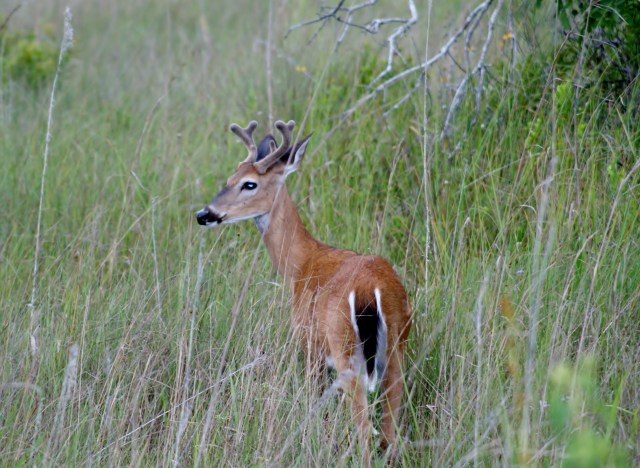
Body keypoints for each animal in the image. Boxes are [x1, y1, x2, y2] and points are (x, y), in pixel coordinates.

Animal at [196, 119, 412, 454]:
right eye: (229, 178)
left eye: (249, 184)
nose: (204, 214)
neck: (301, 263)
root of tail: (370, 290)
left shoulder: (308, 345)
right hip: (396, 346)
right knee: (389, 433)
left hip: (345, 349)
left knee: (365, 431)